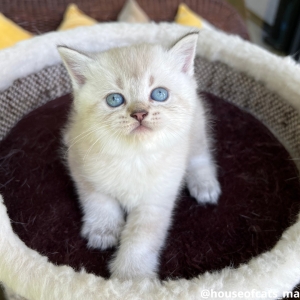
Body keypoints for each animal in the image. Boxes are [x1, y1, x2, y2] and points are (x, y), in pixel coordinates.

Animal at [58, 34, 220, 280]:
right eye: (115, 99)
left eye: (159, 94)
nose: (140, 114)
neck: (134, 156)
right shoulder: (79, 166)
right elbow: (99, 200)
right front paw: (103, 231)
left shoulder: (156, 199)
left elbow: (141, 237)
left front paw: (131, 277)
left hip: (196, 129)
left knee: (200, 158)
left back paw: (205, 186)